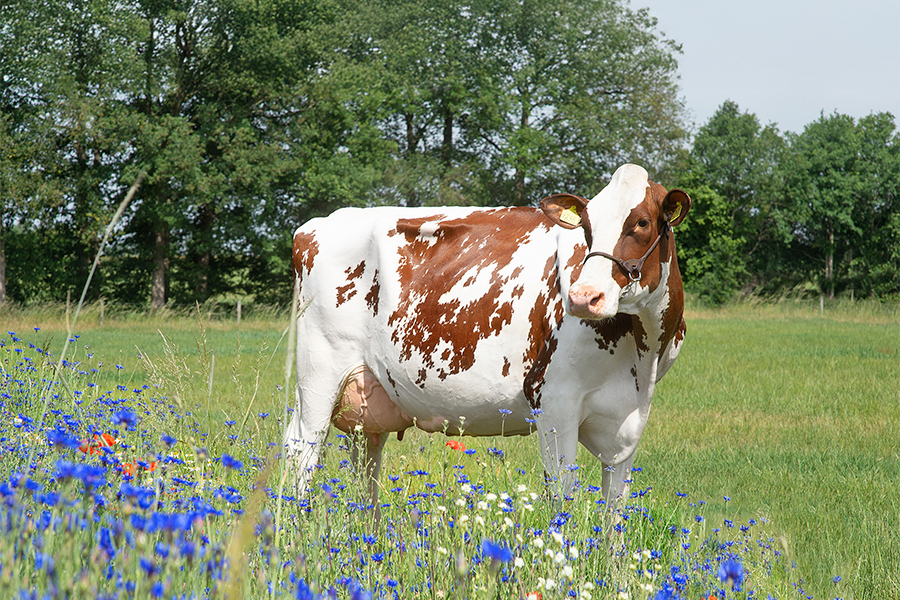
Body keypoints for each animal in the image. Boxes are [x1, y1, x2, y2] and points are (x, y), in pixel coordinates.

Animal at [283, 164, 690, 503]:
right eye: (587, 228)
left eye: (642, 223)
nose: (582, 297)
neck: (642, 354)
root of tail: (314, 225)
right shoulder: (554, 400)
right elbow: (562, 498)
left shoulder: (627, 422)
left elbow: (614, 514)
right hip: (318, 376)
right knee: (302, 451)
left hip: (366, 396)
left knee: (366, 463)